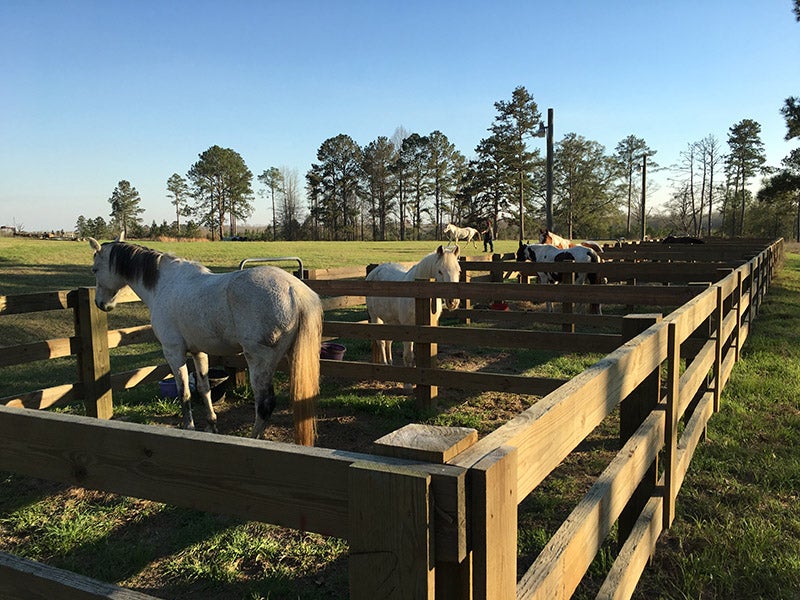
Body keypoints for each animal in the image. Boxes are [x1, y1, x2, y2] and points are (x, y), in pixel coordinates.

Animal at [88, 234, 322, 446]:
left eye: (95, 270)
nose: (101, 304)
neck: (163, 284)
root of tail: (294, 290)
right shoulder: (198, 352)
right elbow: (204, 388)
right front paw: (211, 426)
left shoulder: (173, 352)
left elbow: (184, 392)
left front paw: (189, 428)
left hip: (259, 361)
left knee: (265, 405)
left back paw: (252, 439)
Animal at [366, 246, 460, 386]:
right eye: (440, 271)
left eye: (458, 271)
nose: (452, 302)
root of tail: (375, 270)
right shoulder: (408, 328)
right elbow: (408, 355)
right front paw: (409, 383)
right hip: (375, 317)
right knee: (381, 342)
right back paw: (384, 366)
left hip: (390, 320)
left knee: (388, 341)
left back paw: (390, 364)